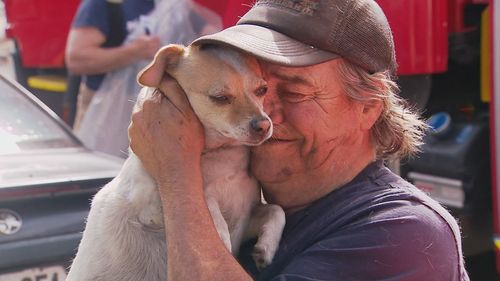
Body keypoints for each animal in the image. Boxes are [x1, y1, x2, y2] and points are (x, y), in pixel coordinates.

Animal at [66, 44, 286, 280]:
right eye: (220, 98)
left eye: (262, 90)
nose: (263, 125)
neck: (221, 156)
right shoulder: (152, 209)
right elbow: (209, 202)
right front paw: (221, 237)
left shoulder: (246, 217)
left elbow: (276, 210)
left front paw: (266, 248)